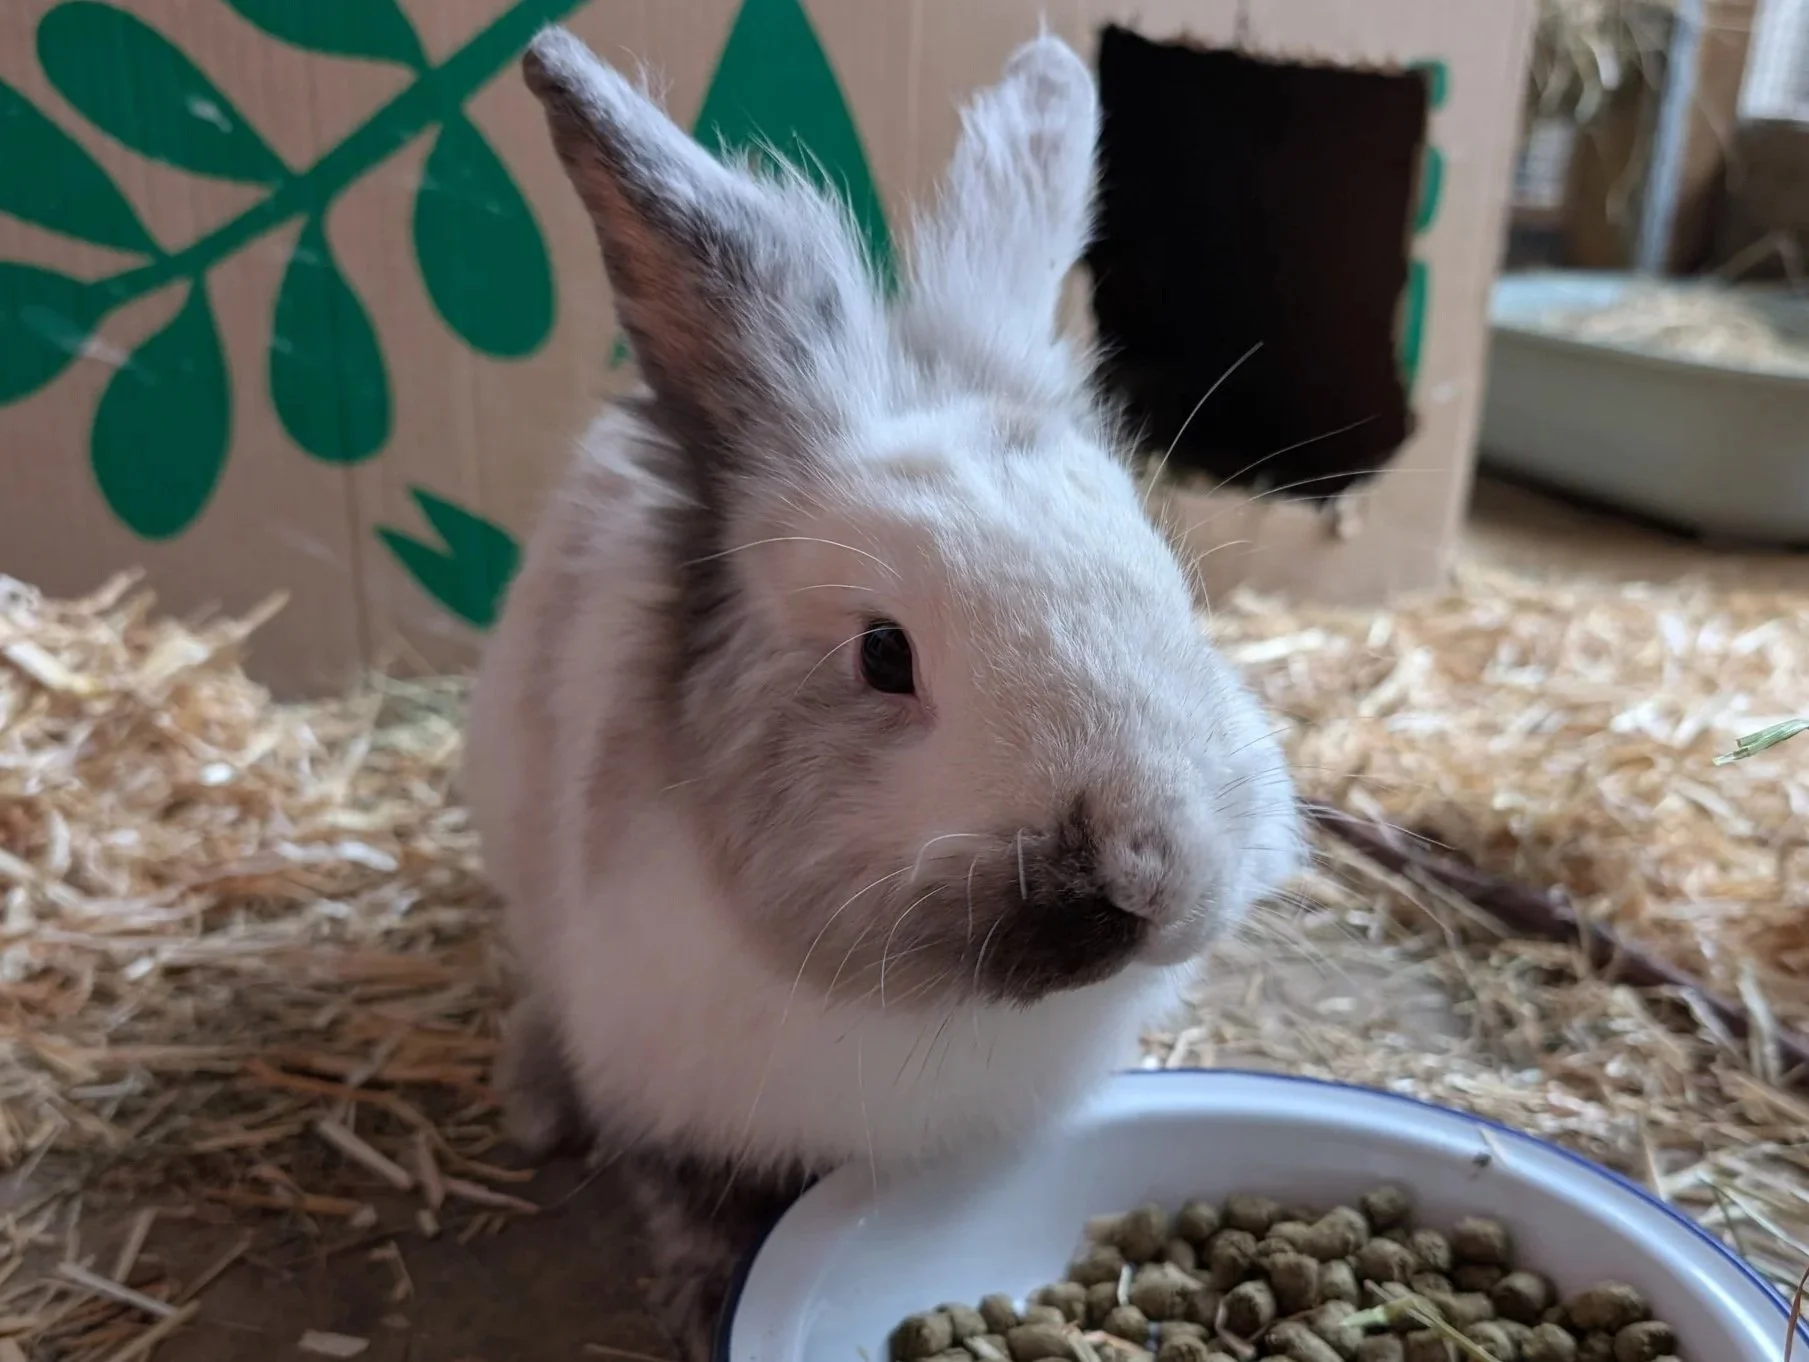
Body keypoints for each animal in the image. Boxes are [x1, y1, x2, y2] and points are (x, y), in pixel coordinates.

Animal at [464, 24, 1304, 1360]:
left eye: (1168, 581)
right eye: (883, 656)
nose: (1146, 881)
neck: (912, 1006)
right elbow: (686, 1201)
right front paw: (704, 1302)